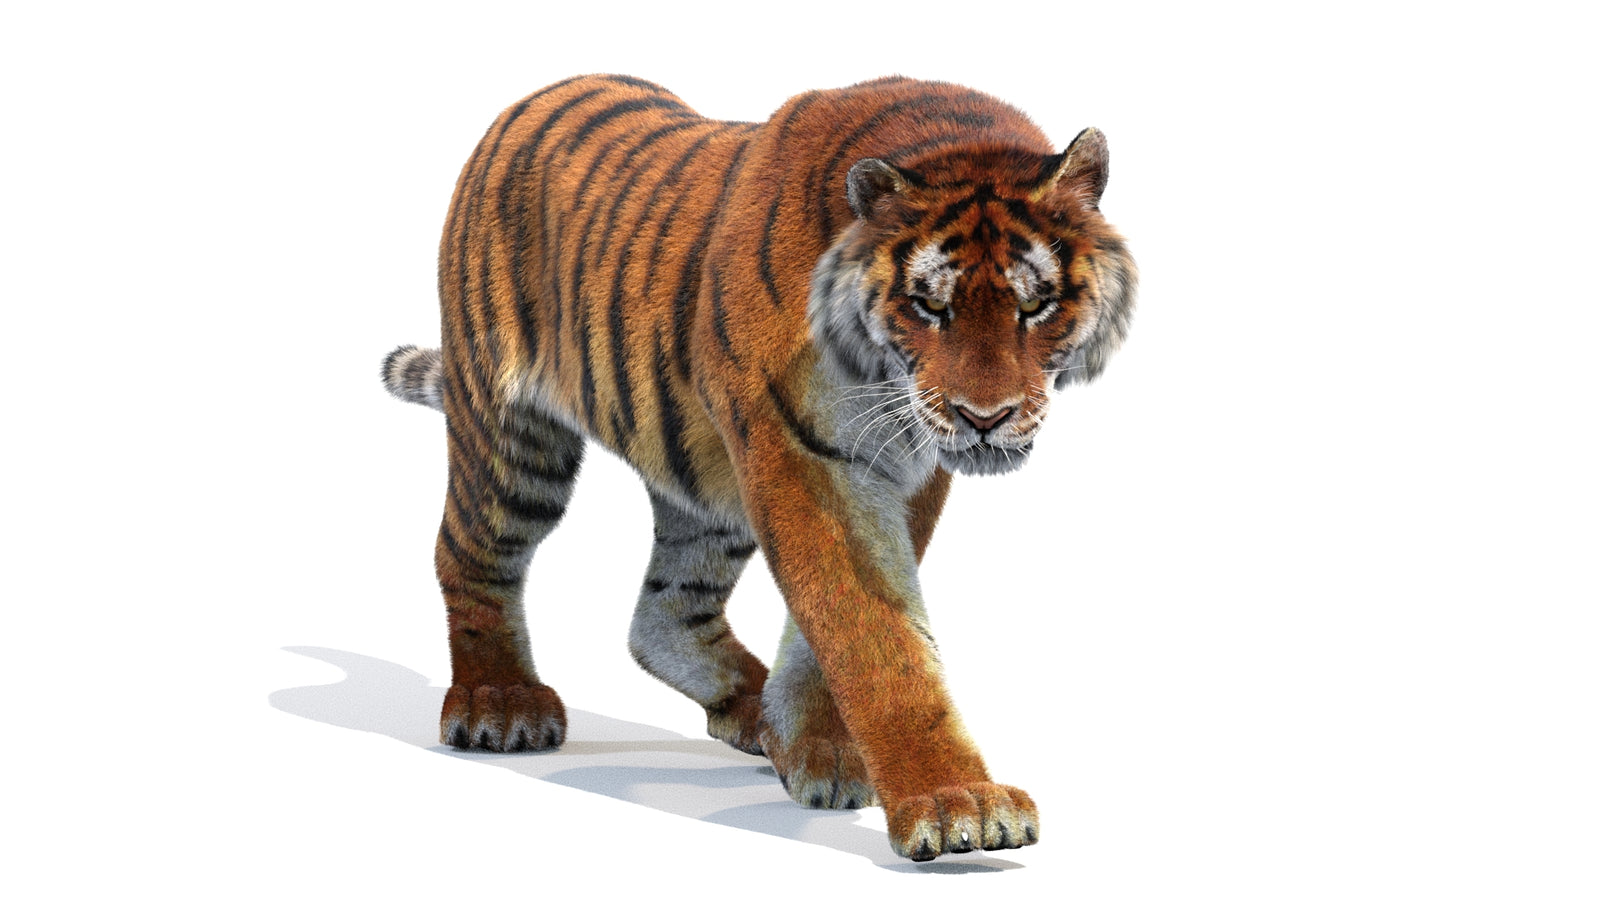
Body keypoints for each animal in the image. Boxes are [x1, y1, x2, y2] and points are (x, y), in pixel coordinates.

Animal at [382, 74, 1135, 861]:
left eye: (1036, 303)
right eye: (929, 306)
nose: (983, 417)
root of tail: (532, 98)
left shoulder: (905, 469)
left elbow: (825, 635)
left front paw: (816, 749)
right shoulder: (804, 455)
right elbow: (874, 635)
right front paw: (953, 801)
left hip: (707, 486)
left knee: (665, 614)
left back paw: (755, 713)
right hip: (513, 439)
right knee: (469, 553)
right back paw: (500, 703)